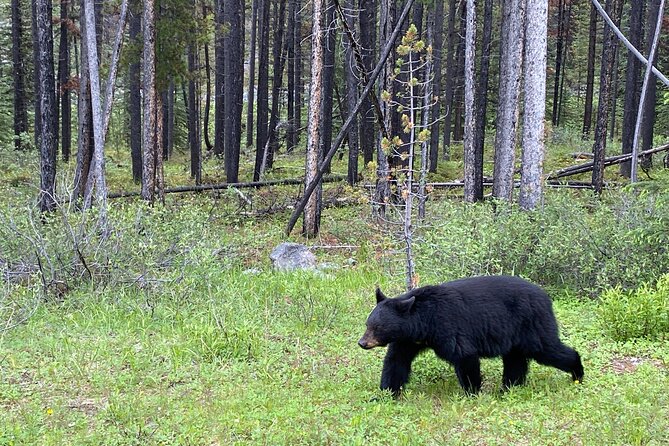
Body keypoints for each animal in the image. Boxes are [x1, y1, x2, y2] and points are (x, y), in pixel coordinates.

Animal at [358, 278, 580, 396]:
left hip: (531, 324)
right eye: (367, 324)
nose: (362, 343)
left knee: (547, 349)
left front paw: (472, 392)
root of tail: (546, 297)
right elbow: (396, 362)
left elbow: (464, 356)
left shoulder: (447, 327)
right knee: (515, 360)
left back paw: (577, 373)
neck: (423, 321)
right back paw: (508, 388)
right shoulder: (408, 340)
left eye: (377, 327)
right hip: (515, 334)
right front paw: (385, 394)